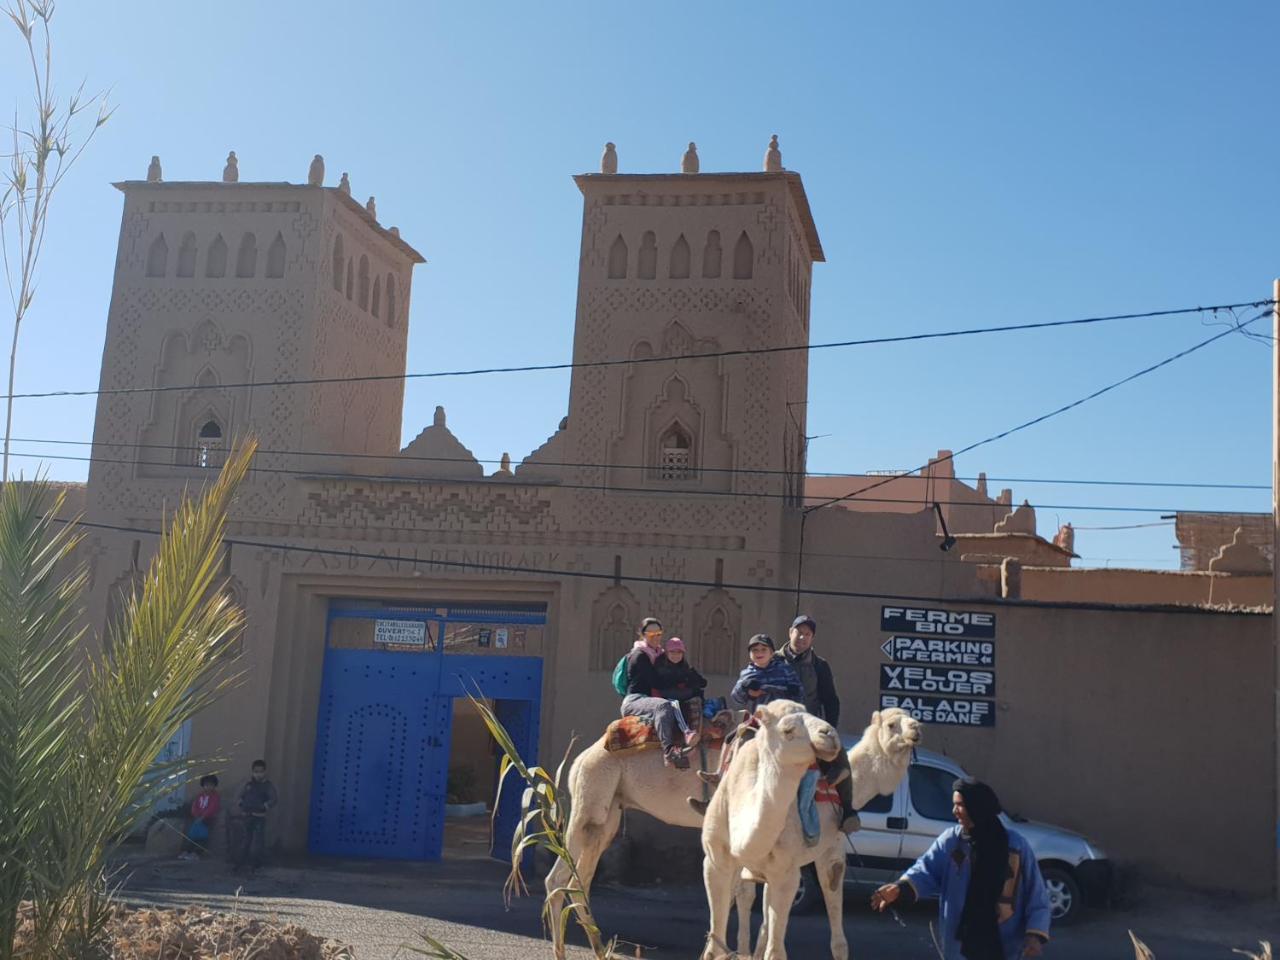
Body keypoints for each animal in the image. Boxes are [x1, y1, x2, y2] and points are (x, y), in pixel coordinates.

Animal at [696, 701, 844, 960]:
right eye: (788, 730)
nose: (830, 734)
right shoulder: (715, 861)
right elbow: (715, 944)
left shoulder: (786, 872)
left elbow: (776, 951)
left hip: (833, 846)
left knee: (831, 888)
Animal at [732, 706, 921, 960]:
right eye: (892, 725)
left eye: (912, 718)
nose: (916, 728)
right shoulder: (830, 853)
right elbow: (837, 936)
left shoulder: (777, 865)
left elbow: (766, 922)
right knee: (740, 893)